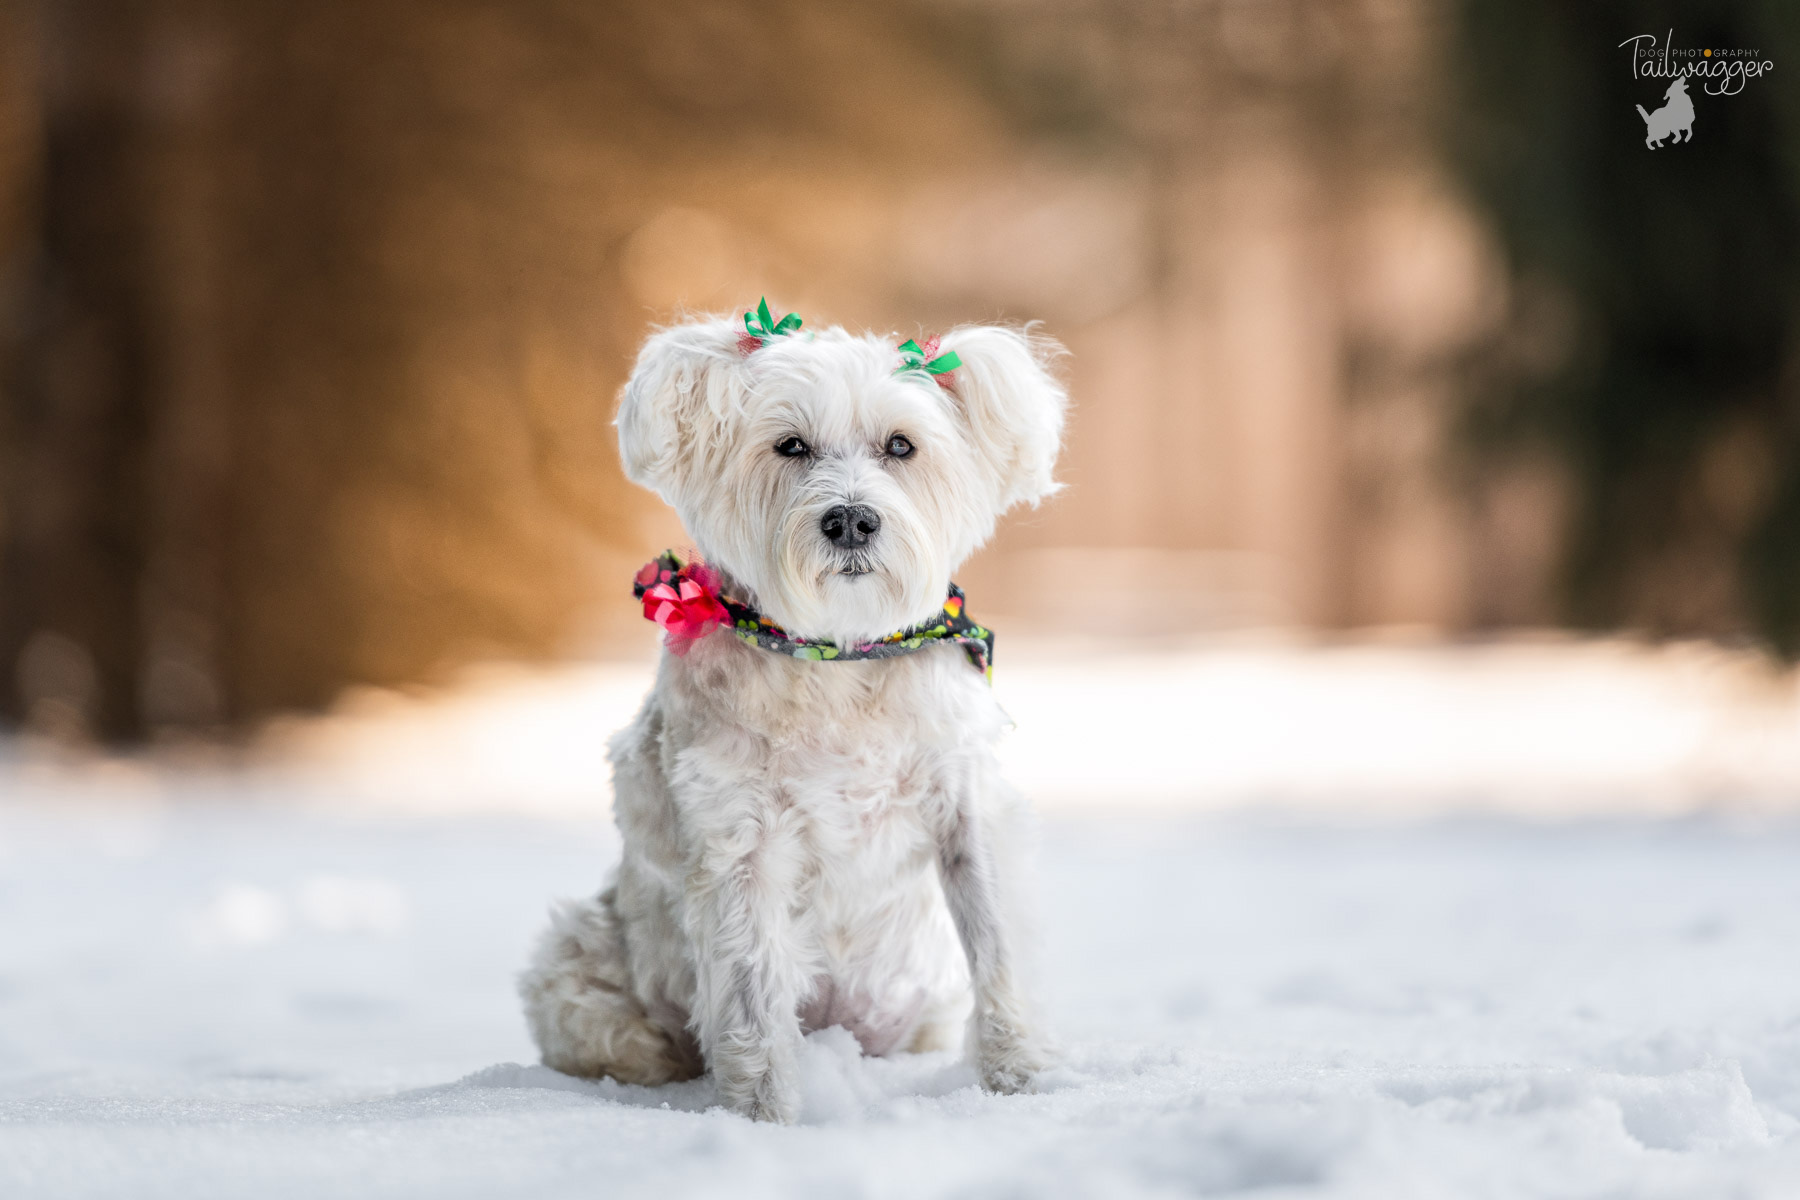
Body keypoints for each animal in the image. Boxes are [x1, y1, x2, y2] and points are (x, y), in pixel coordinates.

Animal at [518, 302, 1065, 1129]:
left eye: (900, 445)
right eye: (791, 446)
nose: (851, 521)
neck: (836, 659)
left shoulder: (966, 808)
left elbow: (998, 951)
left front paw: (1020, 1081)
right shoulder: (740, 839)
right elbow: (750, 996)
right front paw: (763, 1120)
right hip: (578, 955)